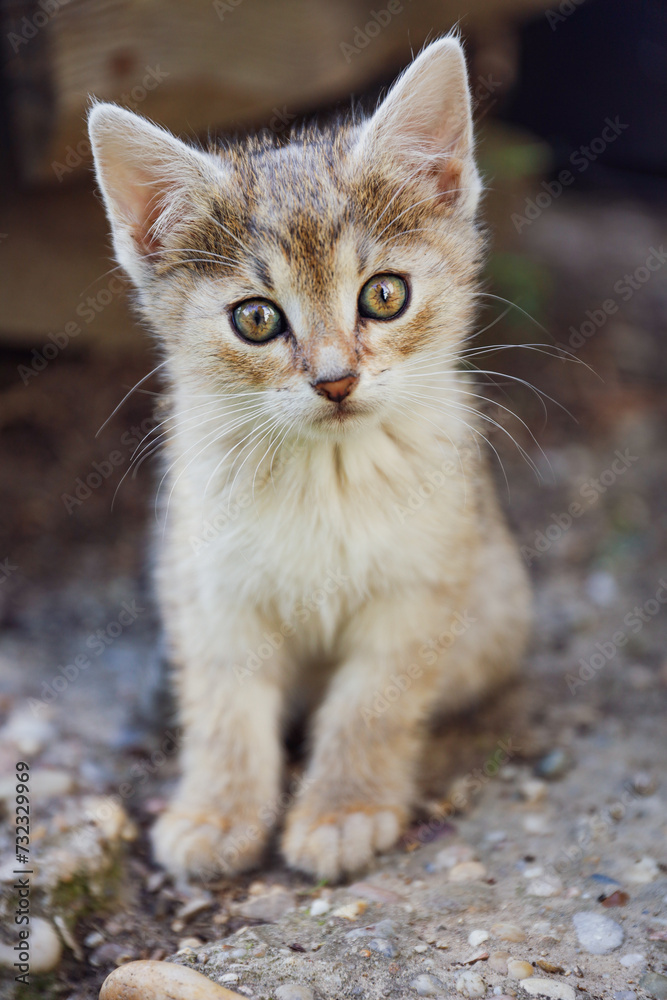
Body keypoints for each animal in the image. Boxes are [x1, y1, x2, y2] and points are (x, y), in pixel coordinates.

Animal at [88, 37, 528, 884]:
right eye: (256, 319)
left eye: (384, 295)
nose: (334, 379)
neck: (327, 477)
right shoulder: (208, 589)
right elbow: (224, 709)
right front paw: (218, 810)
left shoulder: (421, 587)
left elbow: (371, 704)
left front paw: (343, 809)